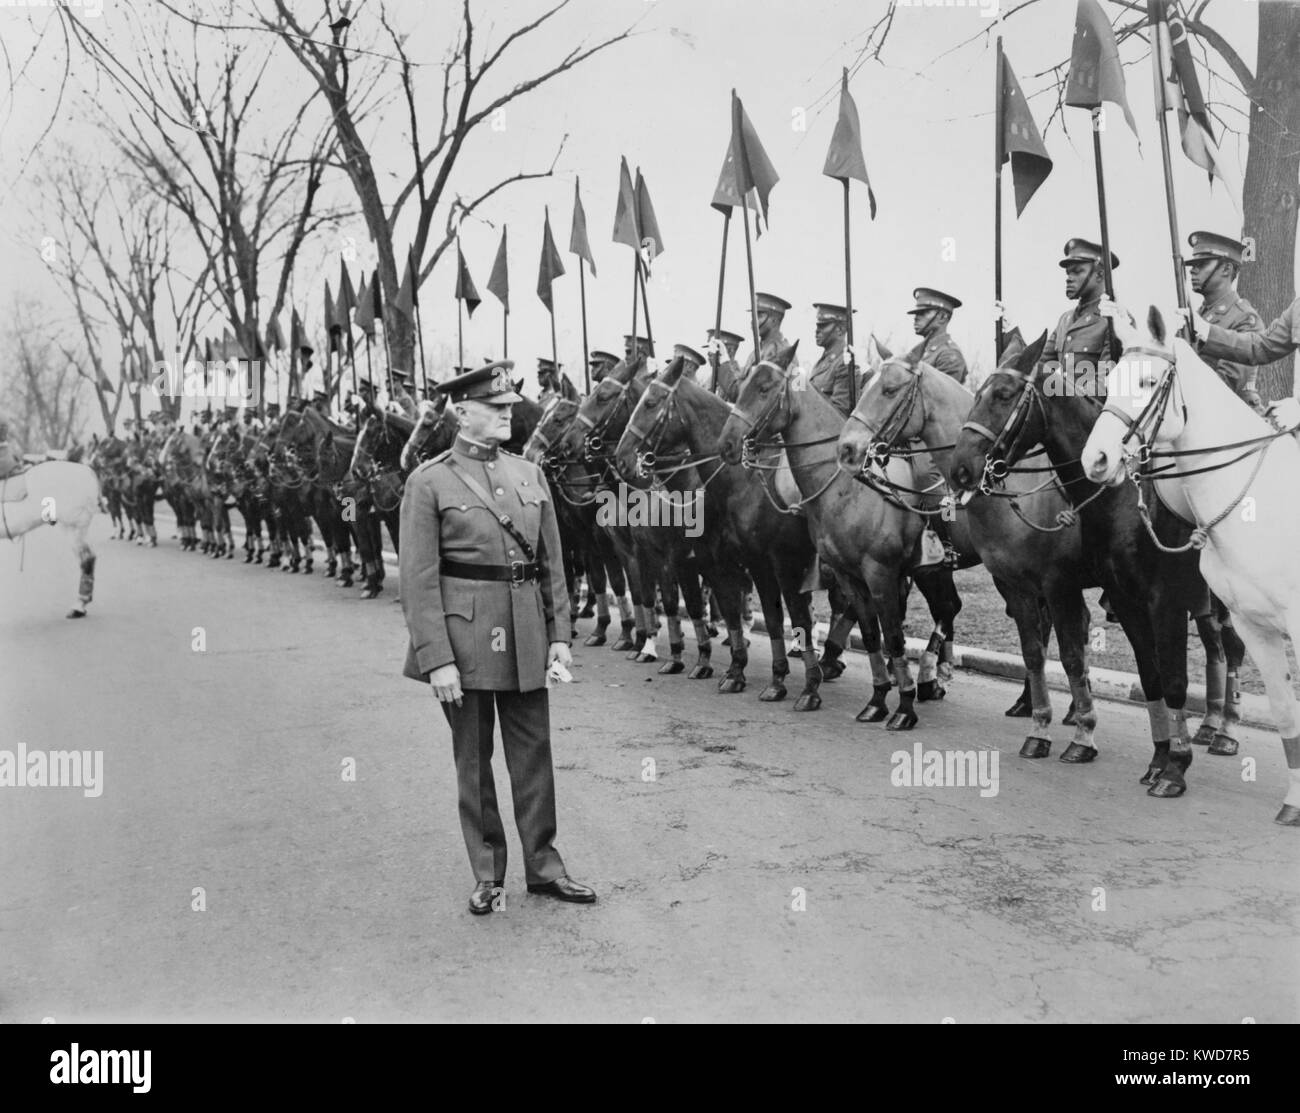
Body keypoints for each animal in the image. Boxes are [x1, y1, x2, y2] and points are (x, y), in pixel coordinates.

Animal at [1081, 306, 1300, 826]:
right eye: (1109, 380)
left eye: (1147, 381)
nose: (1095, 458)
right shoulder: (1253, 622)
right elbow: (1285, 709)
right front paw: (1294, 802)